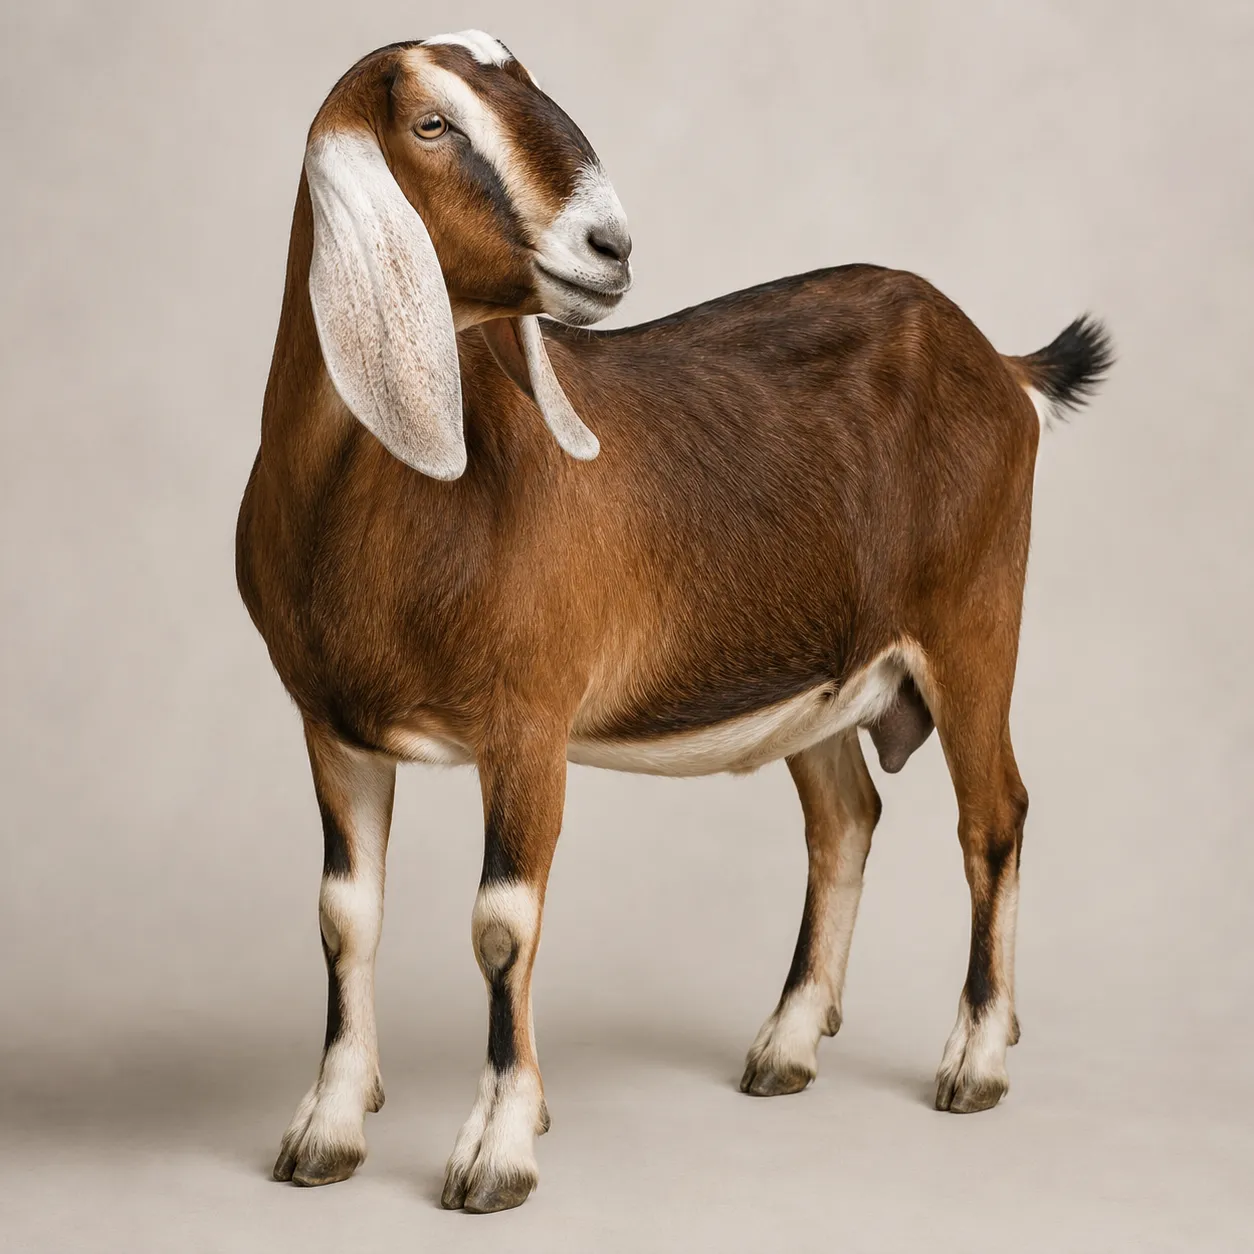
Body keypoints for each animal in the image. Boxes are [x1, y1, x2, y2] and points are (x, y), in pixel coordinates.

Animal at [236, 31, 1113, 1212]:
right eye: (430, 122)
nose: (609, 244)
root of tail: (997, 362)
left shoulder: (527, 721)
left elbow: (502, 926)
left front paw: (496, 1150)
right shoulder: (331, 726)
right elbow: (345, 916)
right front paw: (327, 1131)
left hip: (975, 625)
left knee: (994, 818)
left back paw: (973, 1059)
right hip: (826, 681)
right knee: (846, 820)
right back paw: (788, 1045)